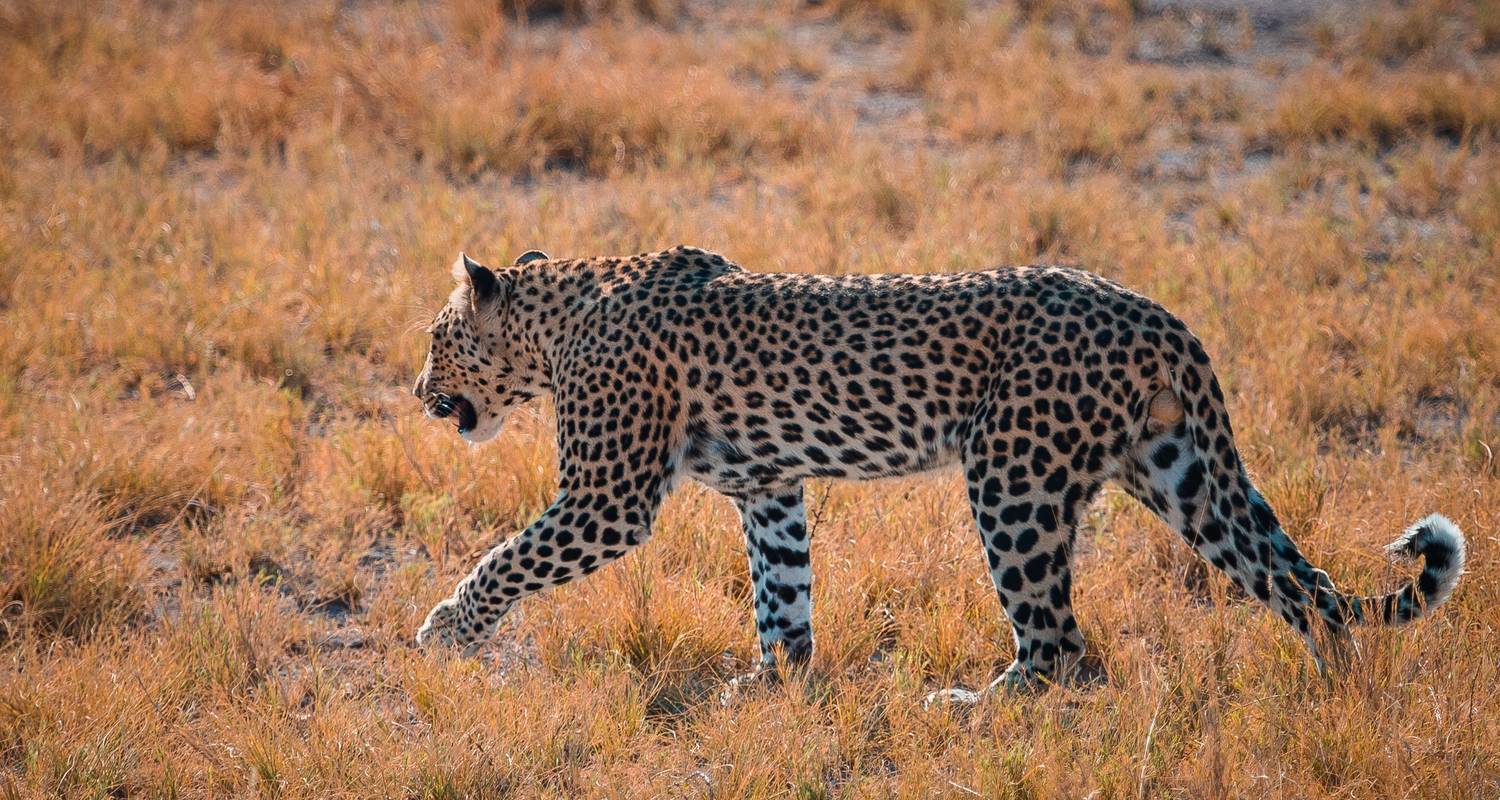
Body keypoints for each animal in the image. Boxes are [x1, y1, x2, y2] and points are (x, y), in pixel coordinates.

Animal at [411, 244, 1464, 699]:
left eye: (435, 338)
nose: (419, 390)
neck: (559, 320)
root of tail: (1157, 314)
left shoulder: (609, 499)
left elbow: (505, 557)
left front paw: (444, 631)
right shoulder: (769, 486)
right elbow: (781, 589)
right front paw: (775, 683)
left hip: (1013, 478)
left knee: (1062, 647)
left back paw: (979, 707)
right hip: (1180, 473)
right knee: (1304, 585)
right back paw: (1335, 690)